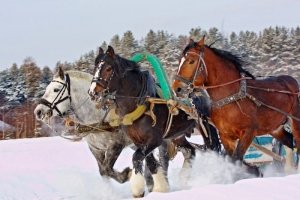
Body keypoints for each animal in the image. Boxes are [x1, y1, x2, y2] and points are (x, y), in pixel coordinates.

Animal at [88, 45, 217, 197]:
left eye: (108, 68)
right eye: (95, 67)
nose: (93, 92)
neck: (141, 103)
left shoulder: (155, 140)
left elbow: (137, 157)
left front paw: (139, 188)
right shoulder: (139, 141)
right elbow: (150, 162)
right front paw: (161, 187)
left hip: (206, 129)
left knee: (213, 149)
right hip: (177, 135)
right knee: (190, 151)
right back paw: (184, 177)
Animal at [172, 37, 298, 167]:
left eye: (191, 61)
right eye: (180, 61)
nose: (177, 88)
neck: (231, 98)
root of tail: (291, 80)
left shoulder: (248, 132)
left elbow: (236, 159)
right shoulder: (226, 136)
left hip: (295, 121)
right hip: (275, 128)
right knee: (289, 141)